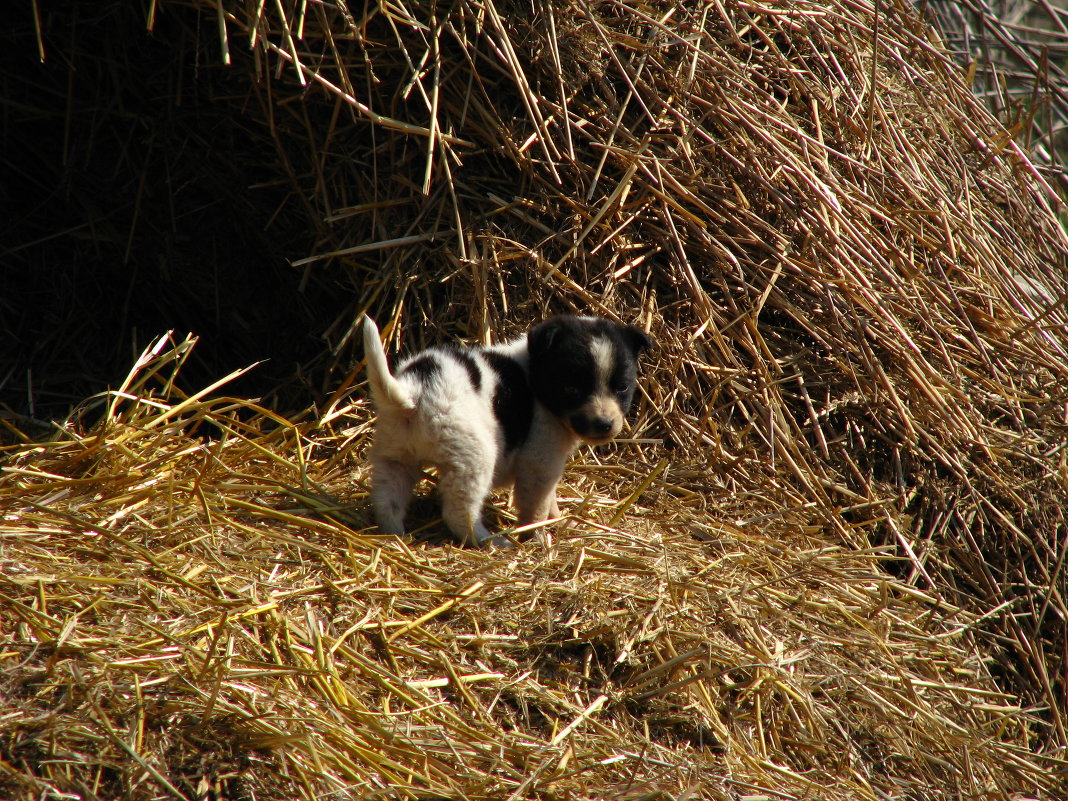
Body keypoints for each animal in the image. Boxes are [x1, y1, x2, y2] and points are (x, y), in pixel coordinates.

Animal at [363, 313, 649, 546]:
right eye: (572, 388)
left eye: (623, 387)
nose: (604, 424)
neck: (535, 376)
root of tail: (413, 393)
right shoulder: (540, 459)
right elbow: (536, 505)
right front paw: (537, 536)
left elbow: (549, 499)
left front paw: (558, 521)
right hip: (473, 459)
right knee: (459, 512)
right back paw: (491, 541)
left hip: (394, 456)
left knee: (388, 502)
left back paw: (394, 536)